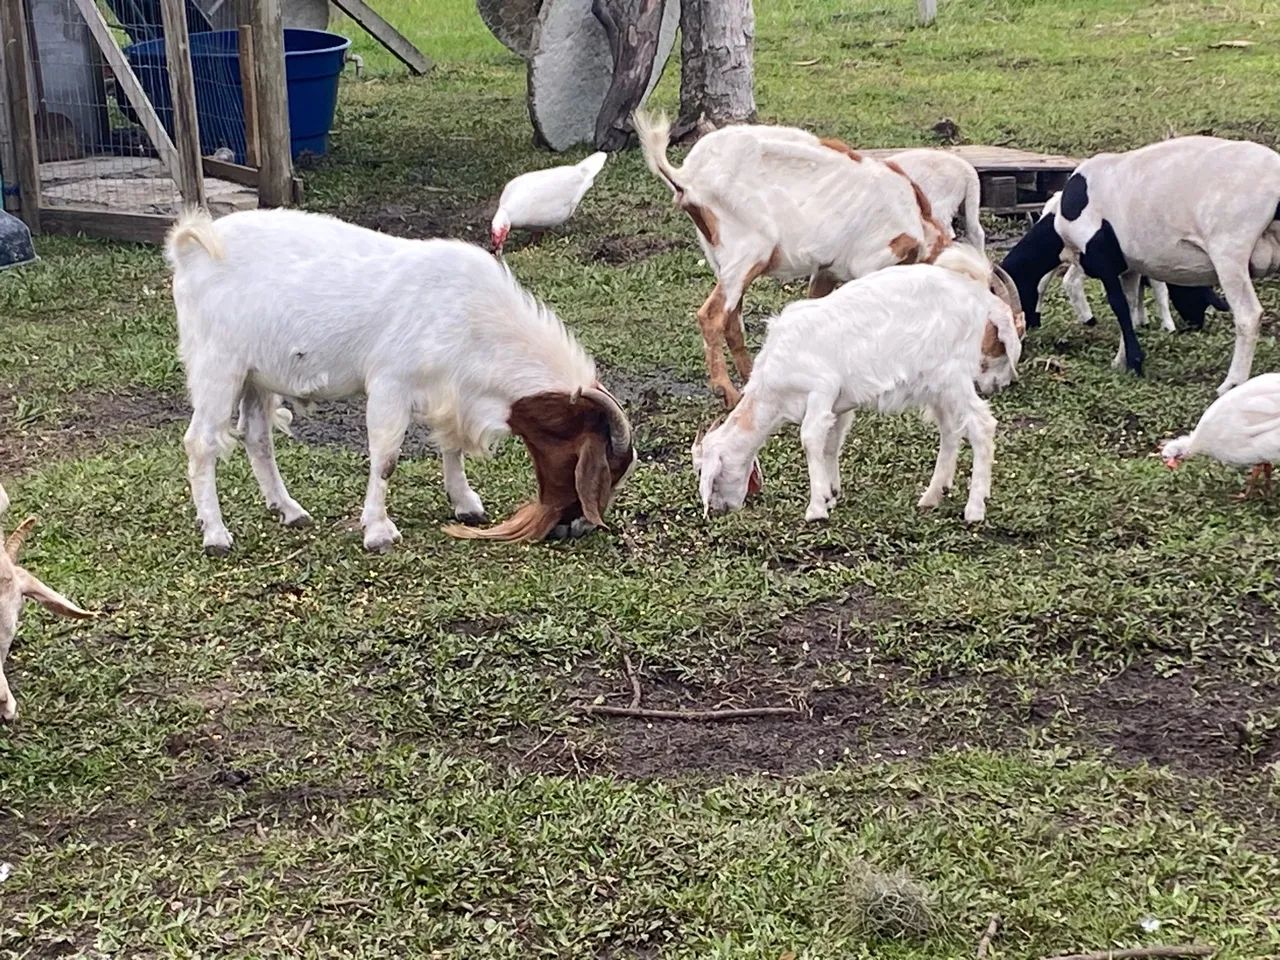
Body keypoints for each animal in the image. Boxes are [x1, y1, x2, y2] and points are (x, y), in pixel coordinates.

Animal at [166, 208, 636, 554]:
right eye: (594, 467)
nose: (577, 526)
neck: (472, 315)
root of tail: (193, 245)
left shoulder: (449, 390)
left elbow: (451, 445)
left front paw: (466, 505)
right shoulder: (391, 383)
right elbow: (387, 457)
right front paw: (378, 531)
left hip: (255, 376)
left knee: (256, 436)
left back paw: (289, 510)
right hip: (218, 365)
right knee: (201, 442)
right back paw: (216, 534)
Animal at [634, 110, 951, 408]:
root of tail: (687, 179)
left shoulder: (826, 269)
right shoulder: (872, 262)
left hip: (722, 258)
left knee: (732, 321)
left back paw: (750, 380)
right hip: (748, 252)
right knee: (712, 316)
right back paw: (727, 391)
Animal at [692, 246, 1021, 524]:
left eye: (711, 475)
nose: (720, 509)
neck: (772, 393)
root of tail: (979, 295)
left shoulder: (821, 388)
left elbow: (811, 438)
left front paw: (816, 509)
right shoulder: (838, 404)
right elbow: (832, 442)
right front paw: (831, 493)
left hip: (952, 375)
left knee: (981, 425)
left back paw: (975, 508)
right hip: (937, 386)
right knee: (951, 429)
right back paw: (932, 496)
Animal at [1001, 137, 1280, 395]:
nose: (1024, 333)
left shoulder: (1102, 257)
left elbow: (1120, 307)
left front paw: (1135, 362)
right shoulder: (1129, 267)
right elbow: (1130, 304)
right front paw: (1122, 359)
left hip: (1229, 252)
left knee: (1248, 315)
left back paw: (1232, 383)